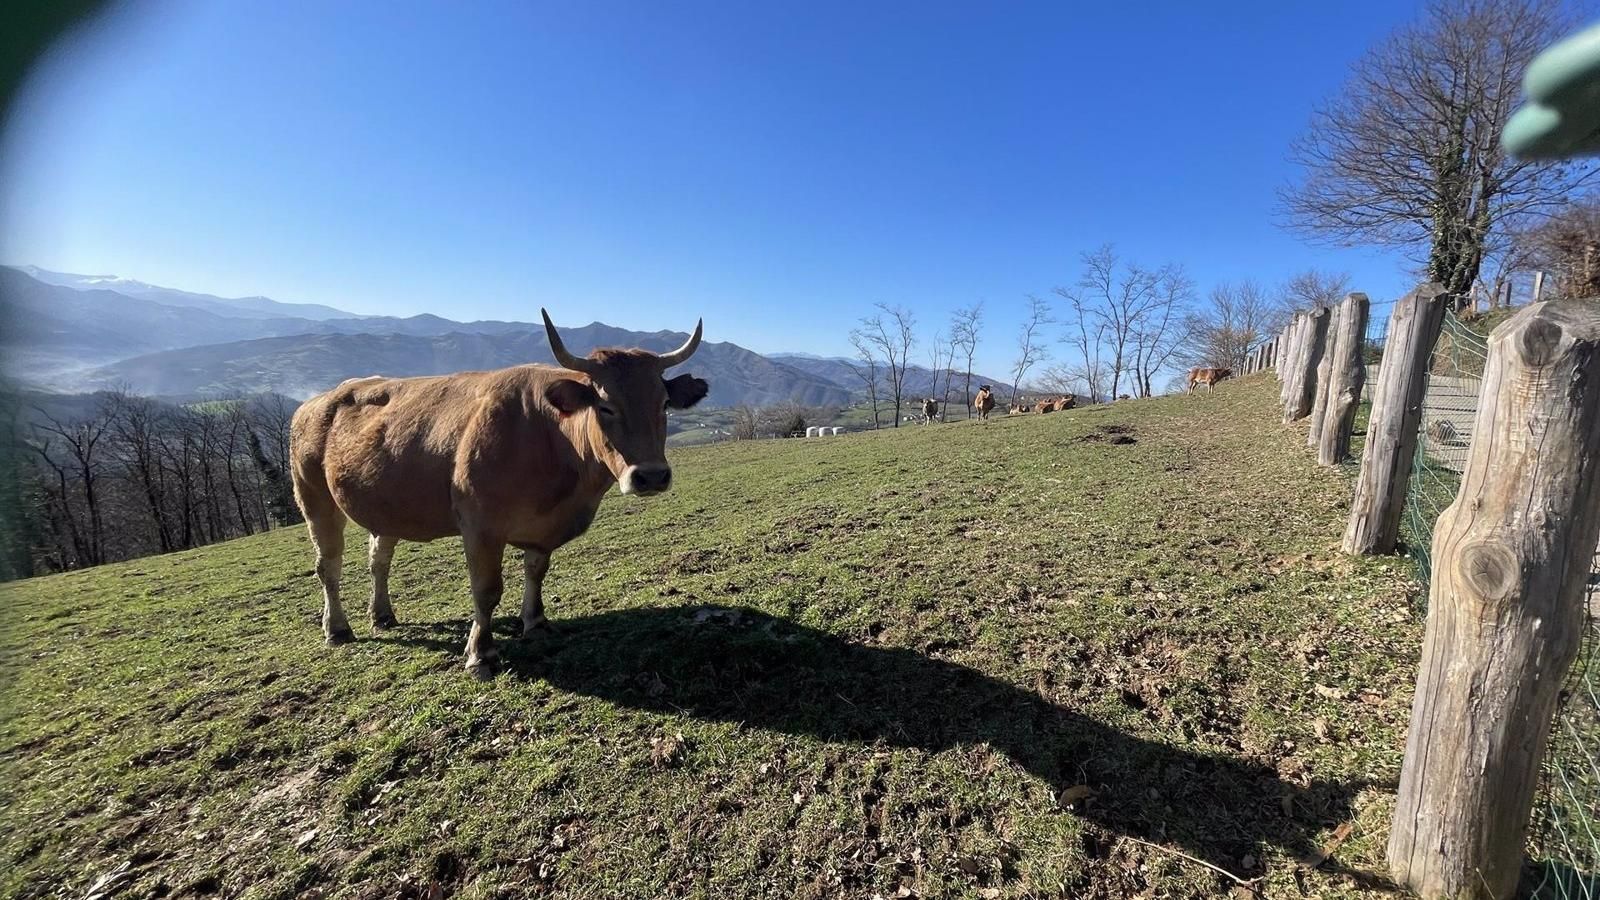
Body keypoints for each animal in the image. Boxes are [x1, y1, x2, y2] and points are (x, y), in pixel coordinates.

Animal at [289, 310, 709, 679]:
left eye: (664, 404)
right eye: (605, 406)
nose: (651, 476)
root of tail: (316, 401)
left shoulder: (542, 527)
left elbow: (536, 571)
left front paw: (535, 622)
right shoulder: (480, 525)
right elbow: (487, 590)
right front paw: (481, 654)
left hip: (386, 505)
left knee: (379, 559)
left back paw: (382, 615)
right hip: (313, 496)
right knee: (328, 565)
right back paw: (337, 629)